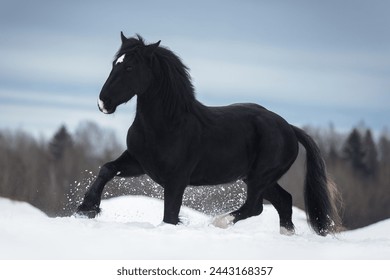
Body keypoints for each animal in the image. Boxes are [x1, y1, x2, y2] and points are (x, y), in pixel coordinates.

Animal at [77, 31, 342, 235]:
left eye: (130, 67)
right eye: (115, 64)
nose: (103, 102)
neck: (167, 125)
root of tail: (289, 127)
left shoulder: (176, 179)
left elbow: (170, 216)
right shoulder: (138, 162)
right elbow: (107, 168)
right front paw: (86, 209)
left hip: (261, 176)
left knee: (255, 207)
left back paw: (217, 223)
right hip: (258, 178)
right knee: (284, 202)